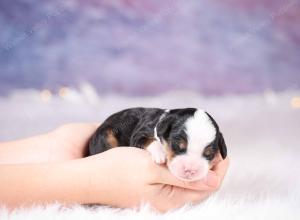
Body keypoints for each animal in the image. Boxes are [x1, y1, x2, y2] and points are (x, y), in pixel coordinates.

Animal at [88, 107, 226, 181]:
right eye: (178, 145)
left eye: (209, 154)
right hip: (106, 135)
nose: (190, 170)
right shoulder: (140, 134)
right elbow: (150, 140)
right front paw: (161, 154)